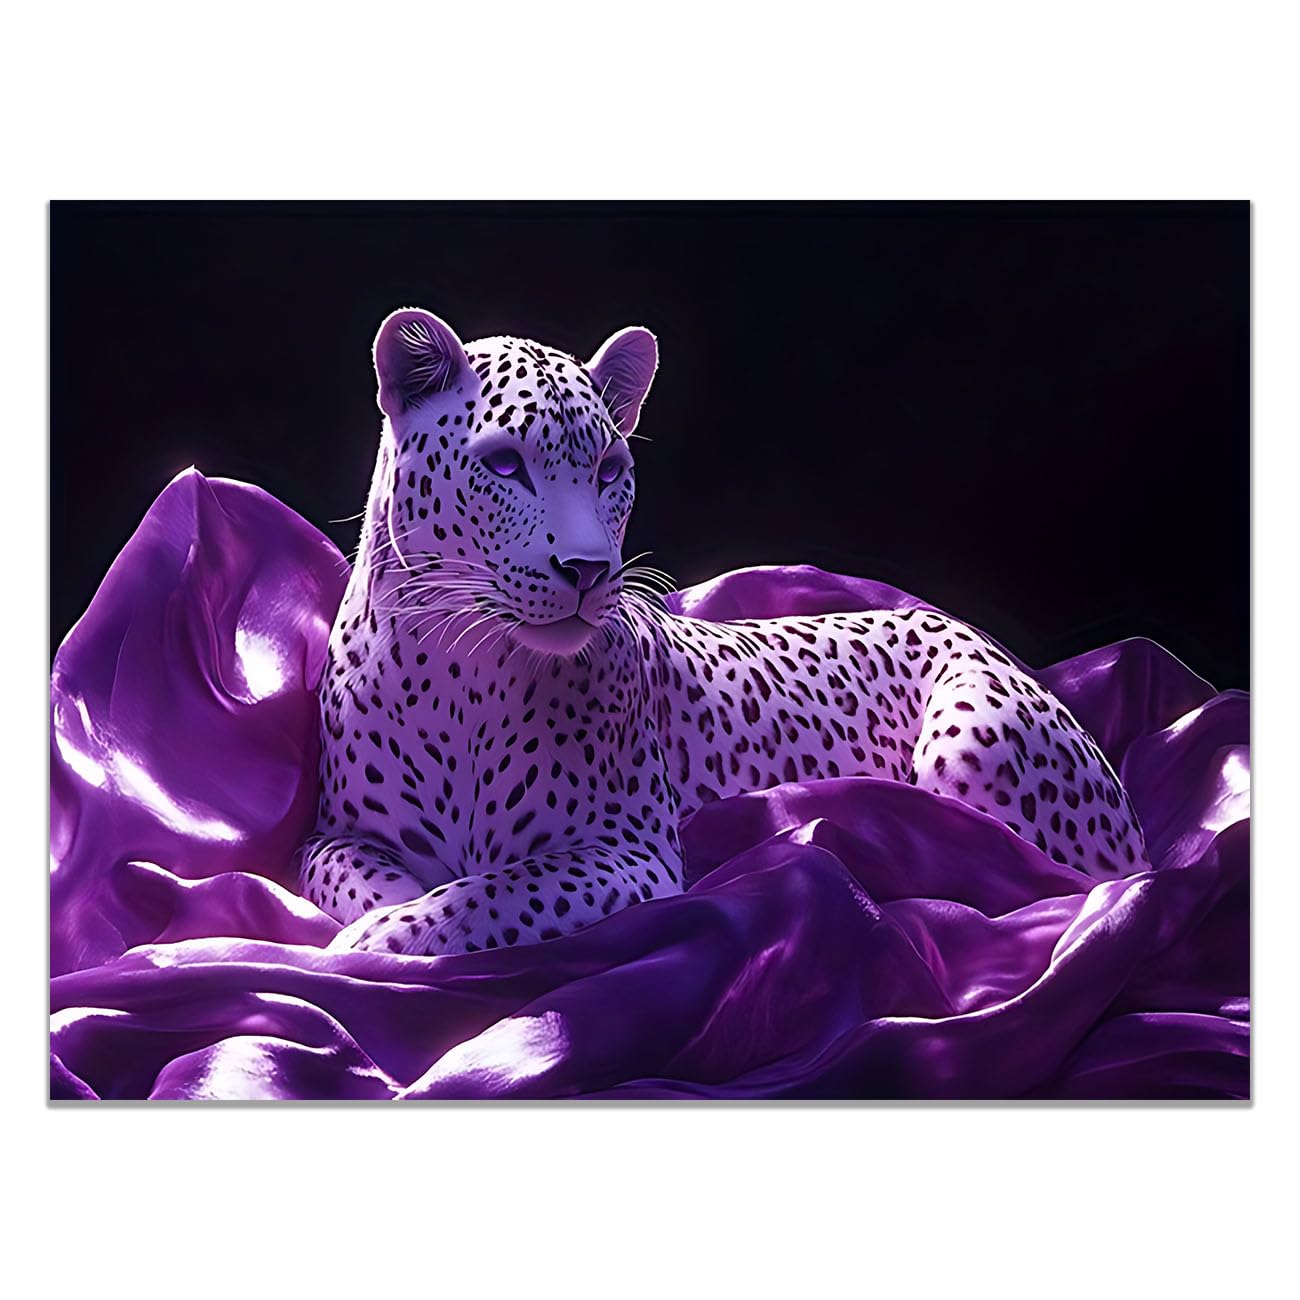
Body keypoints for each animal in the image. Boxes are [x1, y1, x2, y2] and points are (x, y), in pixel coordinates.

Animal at [300, 307, 1148, 957]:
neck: (462, 669)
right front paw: (376, 922)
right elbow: (379, 884)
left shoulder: (631, 854)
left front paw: (374, 942)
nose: (588, 570)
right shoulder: (334, 838)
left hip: (975, 738)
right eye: (505, 464)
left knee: (1046, 880)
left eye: (609, 471)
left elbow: (495, 894)